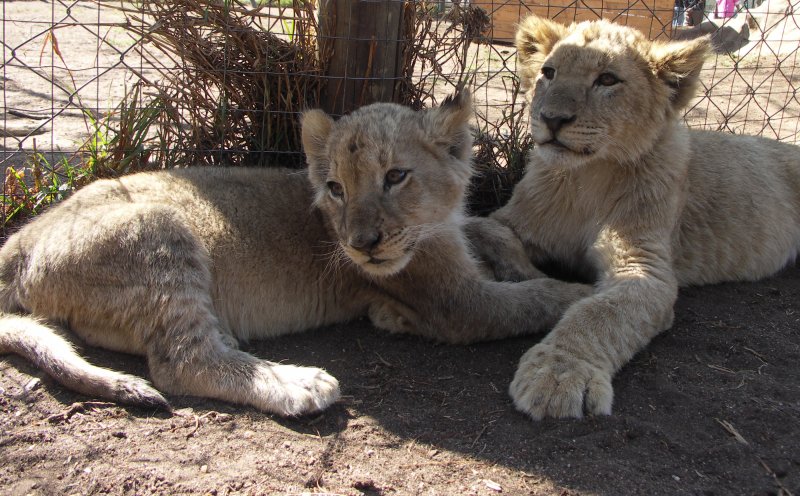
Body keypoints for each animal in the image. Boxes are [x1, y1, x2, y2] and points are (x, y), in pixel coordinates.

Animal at [0, 93, 590, 416]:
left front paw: (516, 257)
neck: (433, 224)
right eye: (336, 189)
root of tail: (19, 242)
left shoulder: (455, 239)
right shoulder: (453, 301)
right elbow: (534, 298)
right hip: (158, 230)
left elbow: (490, 231)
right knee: (182, 361)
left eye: (396, 176)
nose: (360, 245)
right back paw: (298, 383)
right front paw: (585, 292)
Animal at [466, 16, 800, 420]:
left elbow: (600, 313)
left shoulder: (645, 265)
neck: (586, 177)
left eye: (607, 79)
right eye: (548, 72)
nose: (551, 118)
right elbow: (482, 227)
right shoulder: (511, 221)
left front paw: (558, 373)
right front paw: (525, 275)